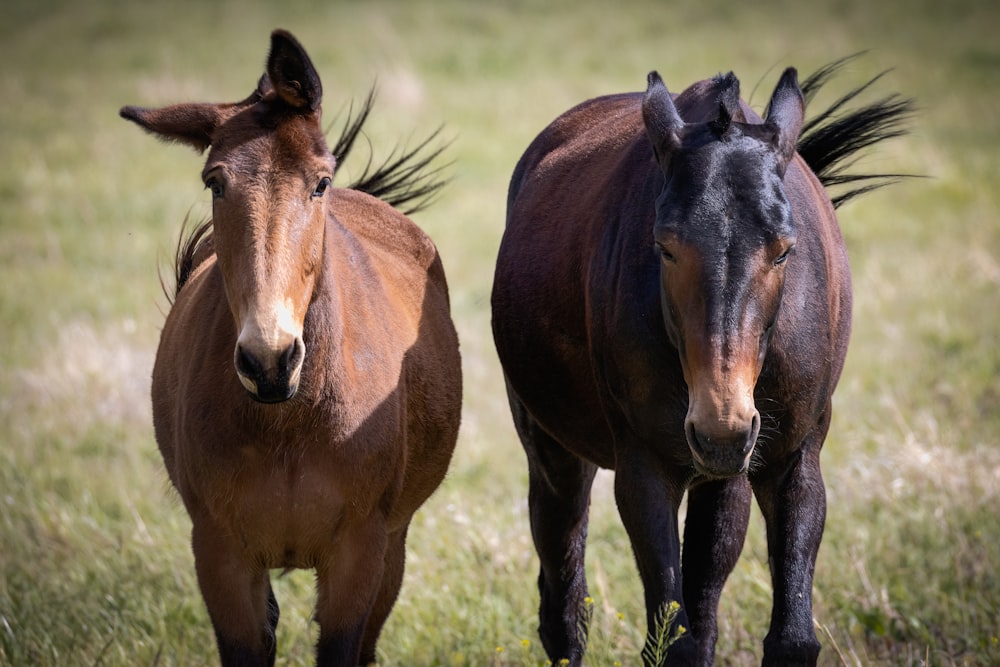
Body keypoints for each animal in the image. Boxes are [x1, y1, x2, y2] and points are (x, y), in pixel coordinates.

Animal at [121, 28, 460, 664]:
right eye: (215, 182)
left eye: (319, 181)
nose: (269, 361)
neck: (288, 424)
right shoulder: (222, 558)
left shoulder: (362, 556)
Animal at [488, 60, 912, 664]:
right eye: (665, 246)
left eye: (784, 249)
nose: (720, 428)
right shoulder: (645, 470)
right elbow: (672, 637)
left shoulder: (791, 460)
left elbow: (786, 636)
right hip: (552, 452)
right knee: (564, 606)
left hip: (721, 480)